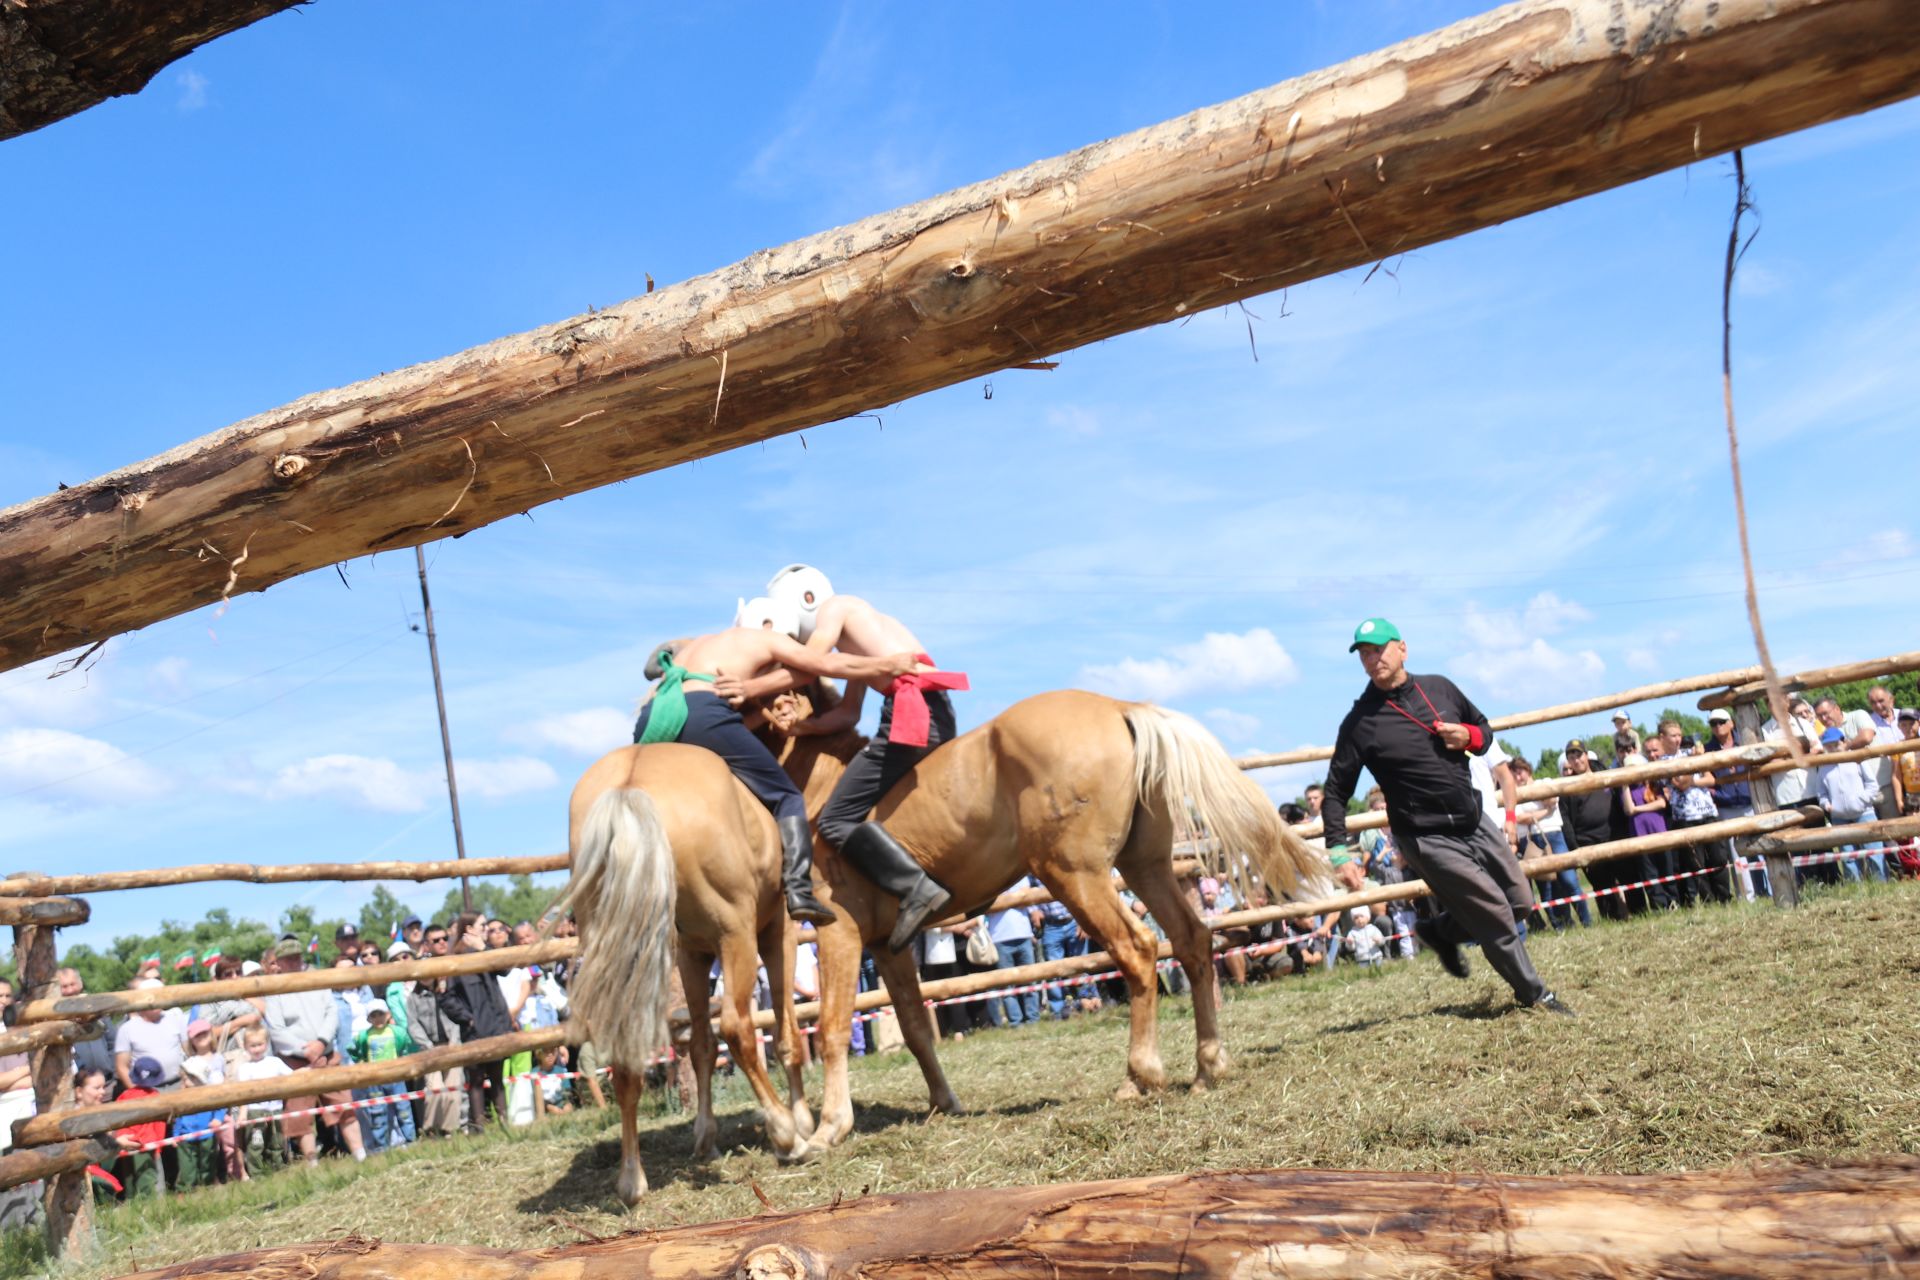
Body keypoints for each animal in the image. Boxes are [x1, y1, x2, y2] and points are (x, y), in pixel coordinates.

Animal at [560, 740, 817, 1205]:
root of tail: (630, 786)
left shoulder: (693, 955)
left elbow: (700, 1046)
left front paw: (705, 1136)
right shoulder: (779, 932)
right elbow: (785, 1035)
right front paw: (802, 1119)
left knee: (629, 1059)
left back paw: (631, 1179)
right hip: (737, 935)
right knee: (738, 1029)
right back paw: (788, 1134)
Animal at [771, 690, 1328, 1151]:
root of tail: (1120, 708)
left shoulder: (840, 932)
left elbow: (833, 1025)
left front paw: (829, 1126)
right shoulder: (889, 946)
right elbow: (913, 1024)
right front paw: (942, 1103)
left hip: (1075, 875)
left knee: (1138, 951)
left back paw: (1140, 1074)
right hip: (1143, 866)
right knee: (1191, 940)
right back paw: (1208, 1064)